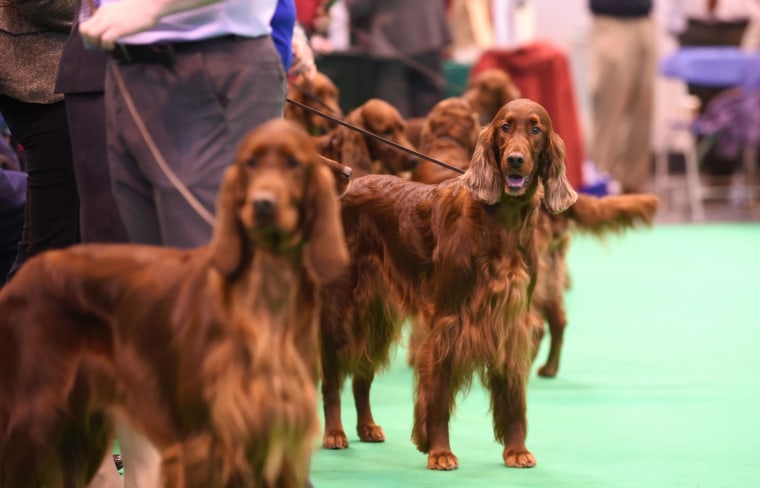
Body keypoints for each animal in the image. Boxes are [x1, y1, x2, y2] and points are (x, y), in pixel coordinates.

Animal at [0, 119, 350, 488]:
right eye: (250, 163)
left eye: (295, 162)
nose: (263, 205)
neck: (266, 299)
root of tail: (20, 279)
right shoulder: (203, 445)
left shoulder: (280, 445)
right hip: (34, 424)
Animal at [320, 98, 576, 468]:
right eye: (505, 127)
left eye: (536, 129)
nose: (514, 160)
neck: (502, 222)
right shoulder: (448, 321)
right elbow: (438, 396)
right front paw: (439, 452)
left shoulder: (511, 321)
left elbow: (514, 396)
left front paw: (516, 450)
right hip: (339, 310)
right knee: (331, 377)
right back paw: (334, 433)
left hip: (379, 314)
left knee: (362, 374)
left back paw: (366, 427)